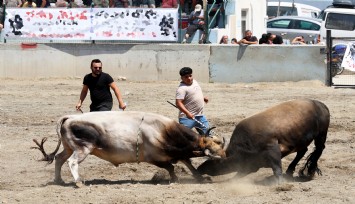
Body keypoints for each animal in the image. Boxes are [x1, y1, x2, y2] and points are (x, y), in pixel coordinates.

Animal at [32, 111, 225, 186]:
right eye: (215, 148)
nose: (225, 156)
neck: (164, 131)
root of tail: (70, 117)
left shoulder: (179, 152)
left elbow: (189, 163)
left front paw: (201, 178)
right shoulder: (154, 157)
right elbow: (170, 166)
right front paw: (175, 178)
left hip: (68, 148)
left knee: (59, 159)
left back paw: (59, 180)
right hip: (82, 149)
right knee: (72, 162)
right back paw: (78, 182)